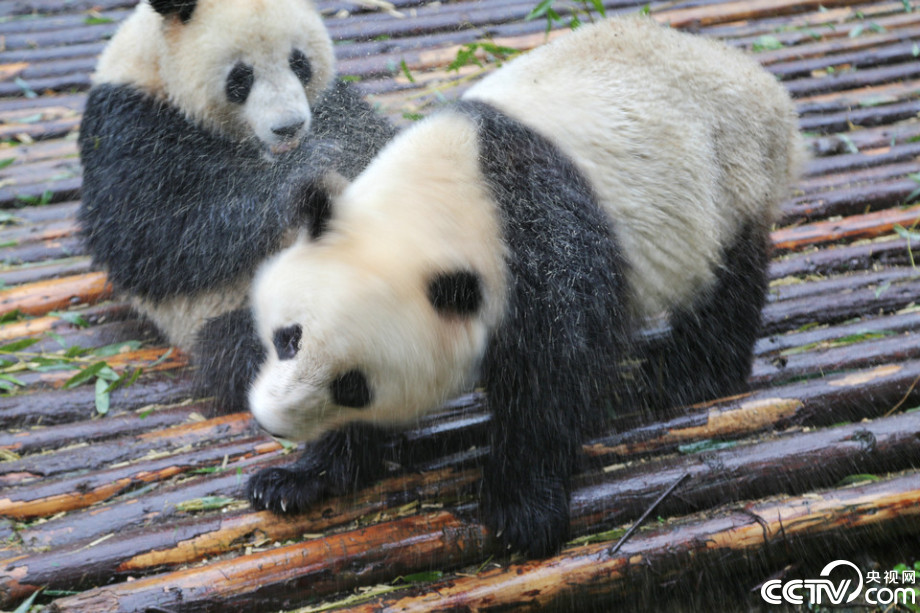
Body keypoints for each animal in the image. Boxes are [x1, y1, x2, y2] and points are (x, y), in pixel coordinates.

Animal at [78, 0, 392, 414]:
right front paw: (308, 167)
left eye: (299, 62)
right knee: (241, 346)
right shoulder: (126, 123)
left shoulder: (334, 104)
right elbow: (149, 240)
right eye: (241, 77)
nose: (289, 127)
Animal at [243, 16, 796, 556]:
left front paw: (522, 513)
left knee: (725, 287)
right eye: (288, 338)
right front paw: (293, 480)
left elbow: (550, 383)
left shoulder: (545, 255)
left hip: (725, 180)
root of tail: (763, 86)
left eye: (353, 385)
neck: (450, 202)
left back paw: (685, 374)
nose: (272, 423)